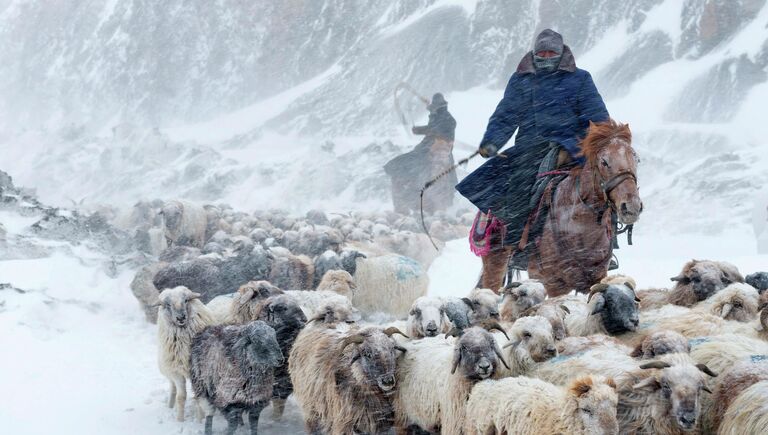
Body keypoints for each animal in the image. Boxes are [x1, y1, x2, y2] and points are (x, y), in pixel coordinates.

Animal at [156, 286, 214, 422]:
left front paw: (200, 420)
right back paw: (170, 406)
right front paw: (180, 420)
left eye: (186, 300)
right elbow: (181, 397)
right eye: (168, 305)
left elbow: (198, 398)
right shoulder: (177, 372)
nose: (181, 317)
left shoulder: (198, 373)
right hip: (168, 369)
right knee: (172, 388)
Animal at [480, 119, 640, 296]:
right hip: (495, 261)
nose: (631, 206)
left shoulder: (597, 278)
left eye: (636, 159)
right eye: (604, 162)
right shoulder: (553, 284)